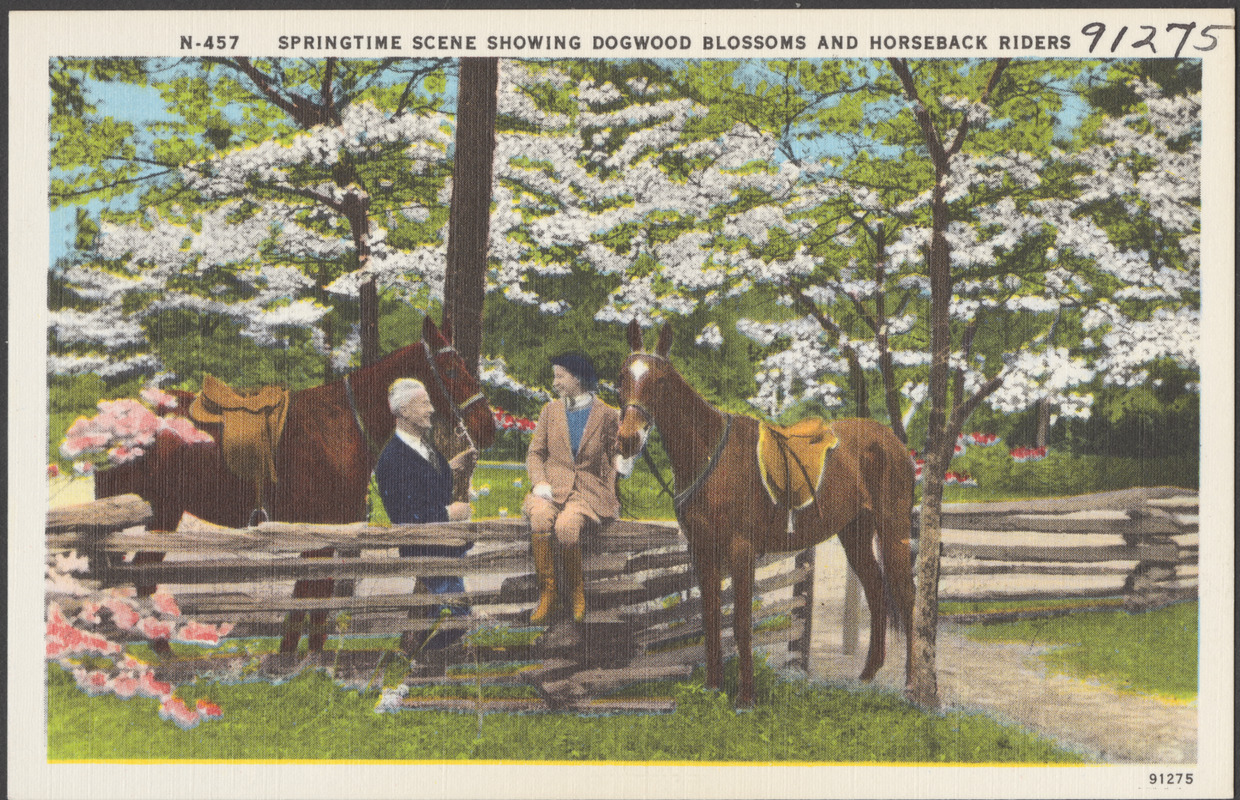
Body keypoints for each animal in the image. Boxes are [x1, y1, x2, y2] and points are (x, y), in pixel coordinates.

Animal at [96, 315, 496, 649]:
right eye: (450, 367)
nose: (488, 425)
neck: (340, 424)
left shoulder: (333, 532)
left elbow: (313, 595)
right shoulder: (319, 530)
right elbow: (310, 594)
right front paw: (294, 661)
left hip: (160, 514)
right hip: (160, 514)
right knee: (139, 581)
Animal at [615, 320, 917, 704]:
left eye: (661, 380)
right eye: (622, 376)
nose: (627, 439)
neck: (710, 454)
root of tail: (892, 442)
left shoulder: (741, 550)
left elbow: (742, 623)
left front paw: (746, 697)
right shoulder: (703, 551)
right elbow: (710, 619)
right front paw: (713, 687)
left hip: (893, 531)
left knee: (908, 598)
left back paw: (913, 684)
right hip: (855, 535)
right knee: (876, 591)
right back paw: (867, 675)